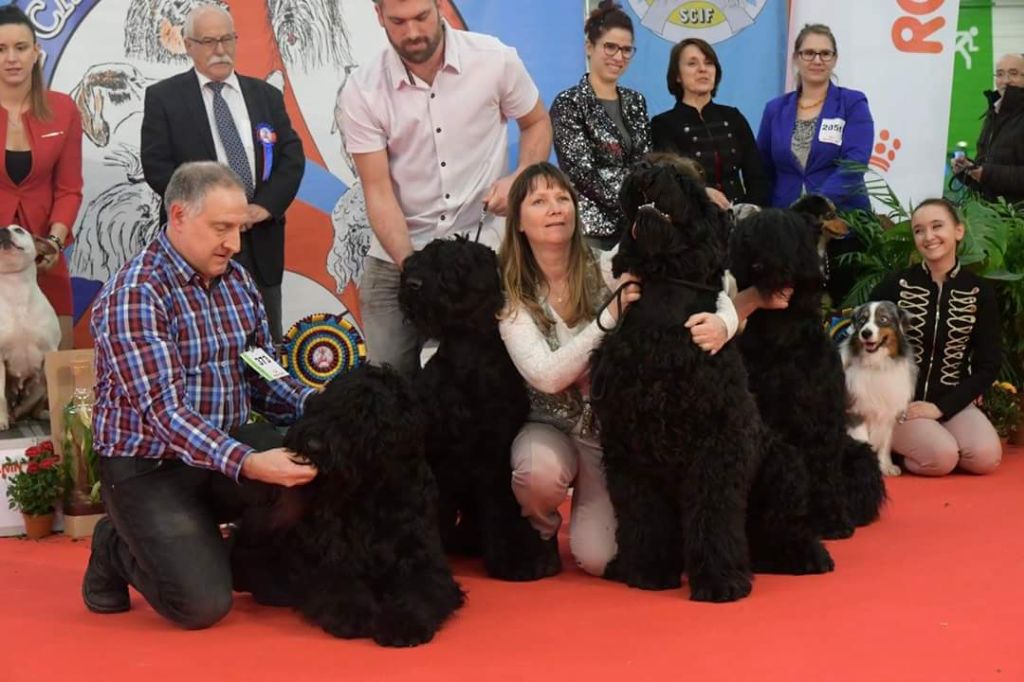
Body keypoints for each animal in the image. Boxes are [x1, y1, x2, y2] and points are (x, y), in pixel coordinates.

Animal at [0, 227, 60, 430]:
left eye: (18, 230)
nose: (3, 230)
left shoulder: (51, 352)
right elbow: (0, 396)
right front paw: (1, 421)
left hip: (39, 386)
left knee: (30, 409)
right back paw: (8, 417)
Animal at [235, 364, 464, 647]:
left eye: (366, 414)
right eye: (326, 401)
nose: (313, 444)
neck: (371, 492)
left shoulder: (425, 562)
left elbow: (419, 591)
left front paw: (403, 623)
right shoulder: (328, 559)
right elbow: (339, 585)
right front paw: (354, 614)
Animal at [397, 235, 561, 577]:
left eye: (459, 264)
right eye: (423, 256)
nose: (412, 283)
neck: (467, 357)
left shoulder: (495, 456)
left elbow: (502, 511)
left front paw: (516, 560)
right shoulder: (433, 455)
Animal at [729, 206, 888, 536]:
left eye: (782, 235)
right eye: (748, 235)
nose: (758, 262)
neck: (778, 333)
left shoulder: (819, 416)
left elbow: (823, 467)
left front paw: (832, 520)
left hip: (859, 455)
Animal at [843, 301, 917, 475]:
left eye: (883, 319)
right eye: (862, 320)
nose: (865, 333)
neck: (876, 364)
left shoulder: (889, 413)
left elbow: (885, 443)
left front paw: (886, 466)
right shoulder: (855, 410)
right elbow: (863, 441)